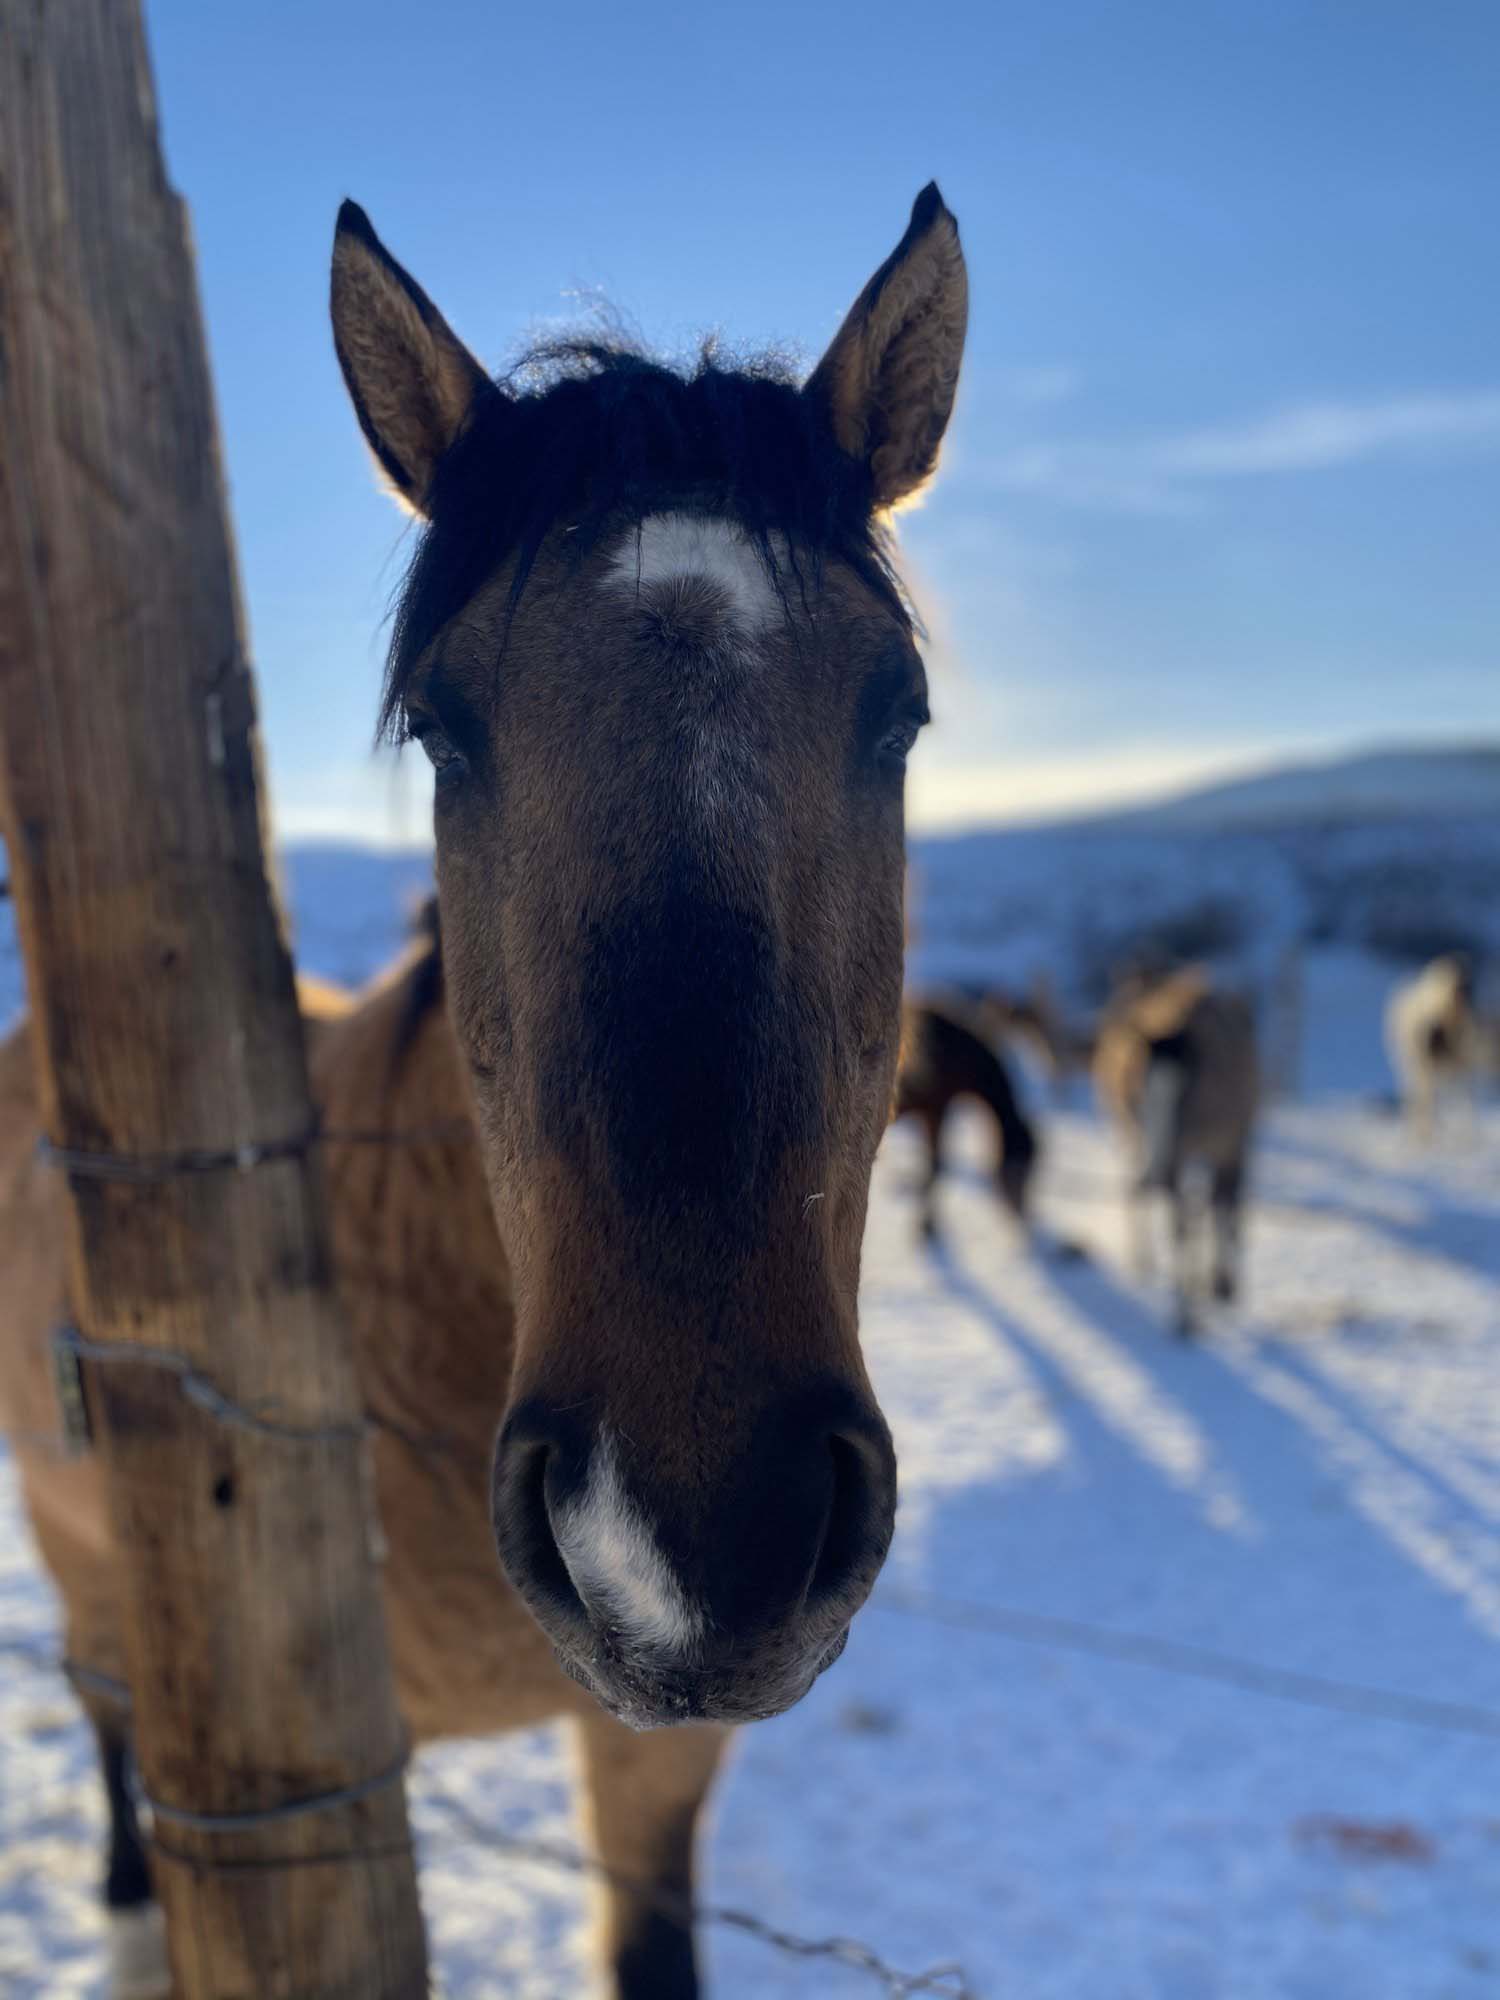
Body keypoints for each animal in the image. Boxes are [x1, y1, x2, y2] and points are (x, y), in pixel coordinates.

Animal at [900, 1008, 1040, 1240]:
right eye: (1016, 1170)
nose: (1021, 1213)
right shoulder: (935, 1109)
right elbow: (936, 1166)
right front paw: (926, 1226)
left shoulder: (933, 1110)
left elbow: (934, 1165)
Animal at [1096, 964, 1264, 1336]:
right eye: (1139, 1092)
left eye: (1186, 1092)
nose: (1155, 1176)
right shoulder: (1168, 1153)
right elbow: (1180, 1226)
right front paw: (1183, 1314)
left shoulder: (1227, 1145)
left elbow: (1217, 1208)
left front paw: (1218, 1289)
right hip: (1133, 1137)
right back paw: (1148, 1261)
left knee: (1222, 1202)